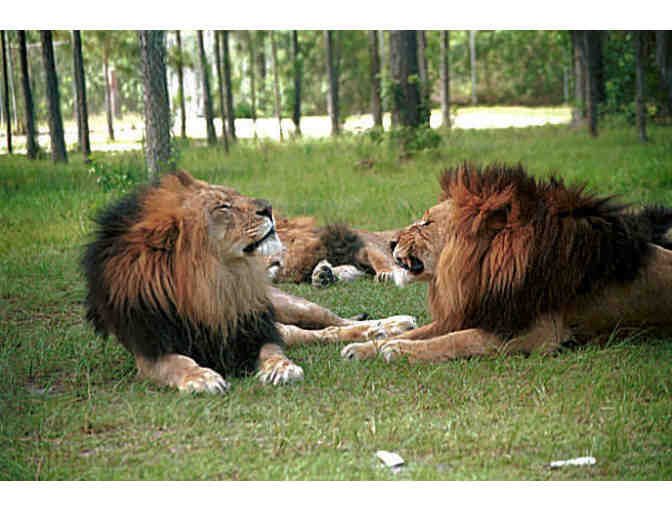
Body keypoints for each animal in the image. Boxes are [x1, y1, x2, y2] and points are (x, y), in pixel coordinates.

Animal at [342, 162, 672, 363]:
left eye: (426, 222)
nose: (390, 243)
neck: (478, 273)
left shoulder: (535, 334)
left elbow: (457, 340)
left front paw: (396, 348)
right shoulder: (474, 311)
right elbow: (421, 330)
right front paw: (362, 347)